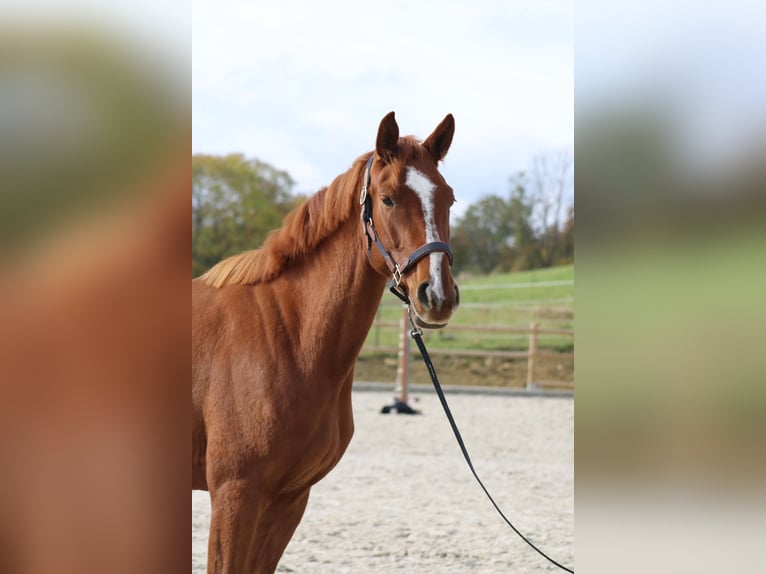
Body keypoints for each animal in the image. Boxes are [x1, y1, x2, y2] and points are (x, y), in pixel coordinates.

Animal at [195, 113, 460, 574]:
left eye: (449, 198)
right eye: (388, 199)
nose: (437, 295)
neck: (288, 335)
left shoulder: (288, 499)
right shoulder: (235, 493)